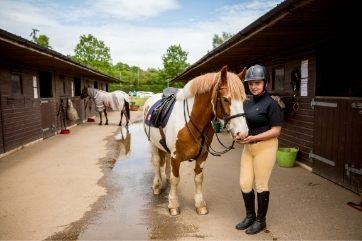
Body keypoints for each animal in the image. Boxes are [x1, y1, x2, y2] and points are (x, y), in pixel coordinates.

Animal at [143, 65, 247, 216]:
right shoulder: (176, 157)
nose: (242, 133)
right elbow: (176, 179)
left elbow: (198, 179)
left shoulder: (202, 156)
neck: (191, 121)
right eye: (226, 99)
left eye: (244, 100)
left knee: (166, 159)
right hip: (152, 143)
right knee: (157, 163)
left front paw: (200, 204)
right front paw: (173, 204)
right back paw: (157, 186)